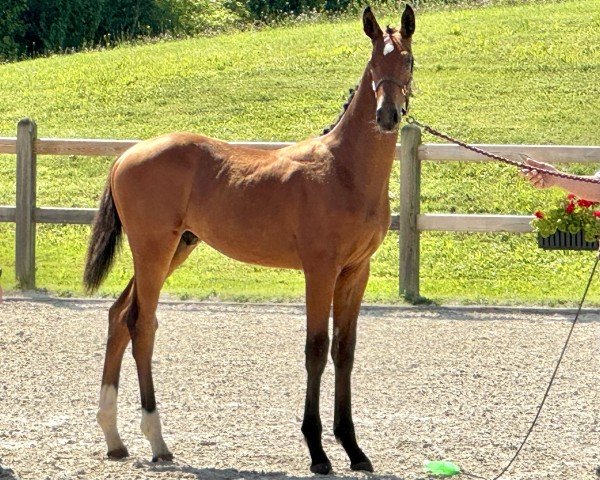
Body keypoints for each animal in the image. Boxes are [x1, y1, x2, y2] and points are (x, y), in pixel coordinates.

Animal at [84, 6, 414, 472]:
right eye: (373, 63)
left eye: (407, 60)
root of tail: (126, 155)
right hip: (153, 249)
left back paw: (115, 439)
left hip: (176, 248)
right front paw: (317, 453)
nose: (387, 116)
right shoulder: (320, 269)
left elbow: (344, 352)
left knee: (118, 316)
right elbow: (316, 349)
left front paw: (353, 449)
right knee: (140, 323)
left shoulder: (355, 271)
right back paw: (157, 442)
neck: (344, 169)